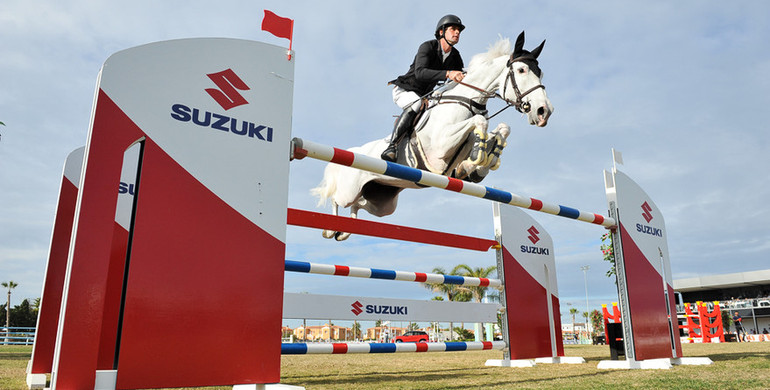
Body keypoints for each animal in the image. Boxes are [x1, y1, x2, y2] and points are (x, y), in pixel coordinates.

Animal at [308, 32, 548, 241]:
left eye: (540, 72)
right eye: (521, 70)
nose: (544, 111)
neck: (467, 101)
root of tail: (355, 152)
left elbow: (500, 131)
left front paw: (481, 164)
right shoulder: (441, 146)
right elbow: (480, 121)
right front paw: (481, 155)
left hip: (382, 202)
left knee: (359, 205)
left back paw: (345, 230)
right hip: (349, 190)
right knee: (336, 198)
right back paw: (331, 229)